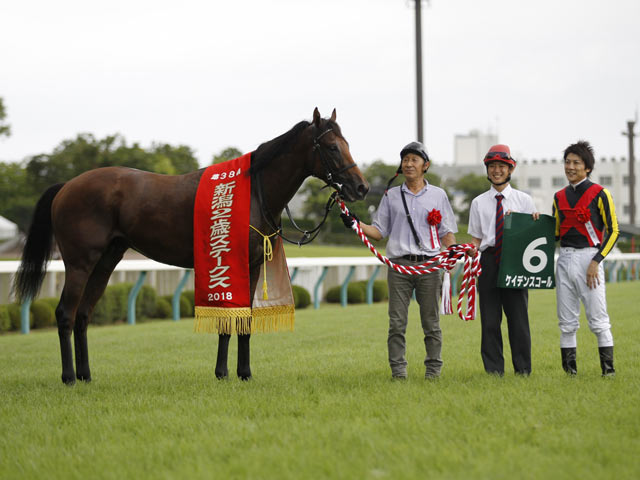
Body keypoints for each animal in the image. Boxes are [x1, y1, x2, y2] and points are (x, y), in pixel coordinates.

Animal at [15, 107, 370, 384]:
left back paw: (86, 375)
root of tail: (67, 187)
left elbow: (243, 320)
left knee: (83, 315)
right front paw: (225, 372)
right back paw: (69, 377)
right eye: (331, 147)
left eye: (347, 144)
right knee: (65, 313)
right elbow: (230, 317)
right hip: (79, 264)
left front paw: (241, 373)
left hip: (105, 263)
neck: (253, 192)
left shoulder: (251, 265)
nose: (361, 187)